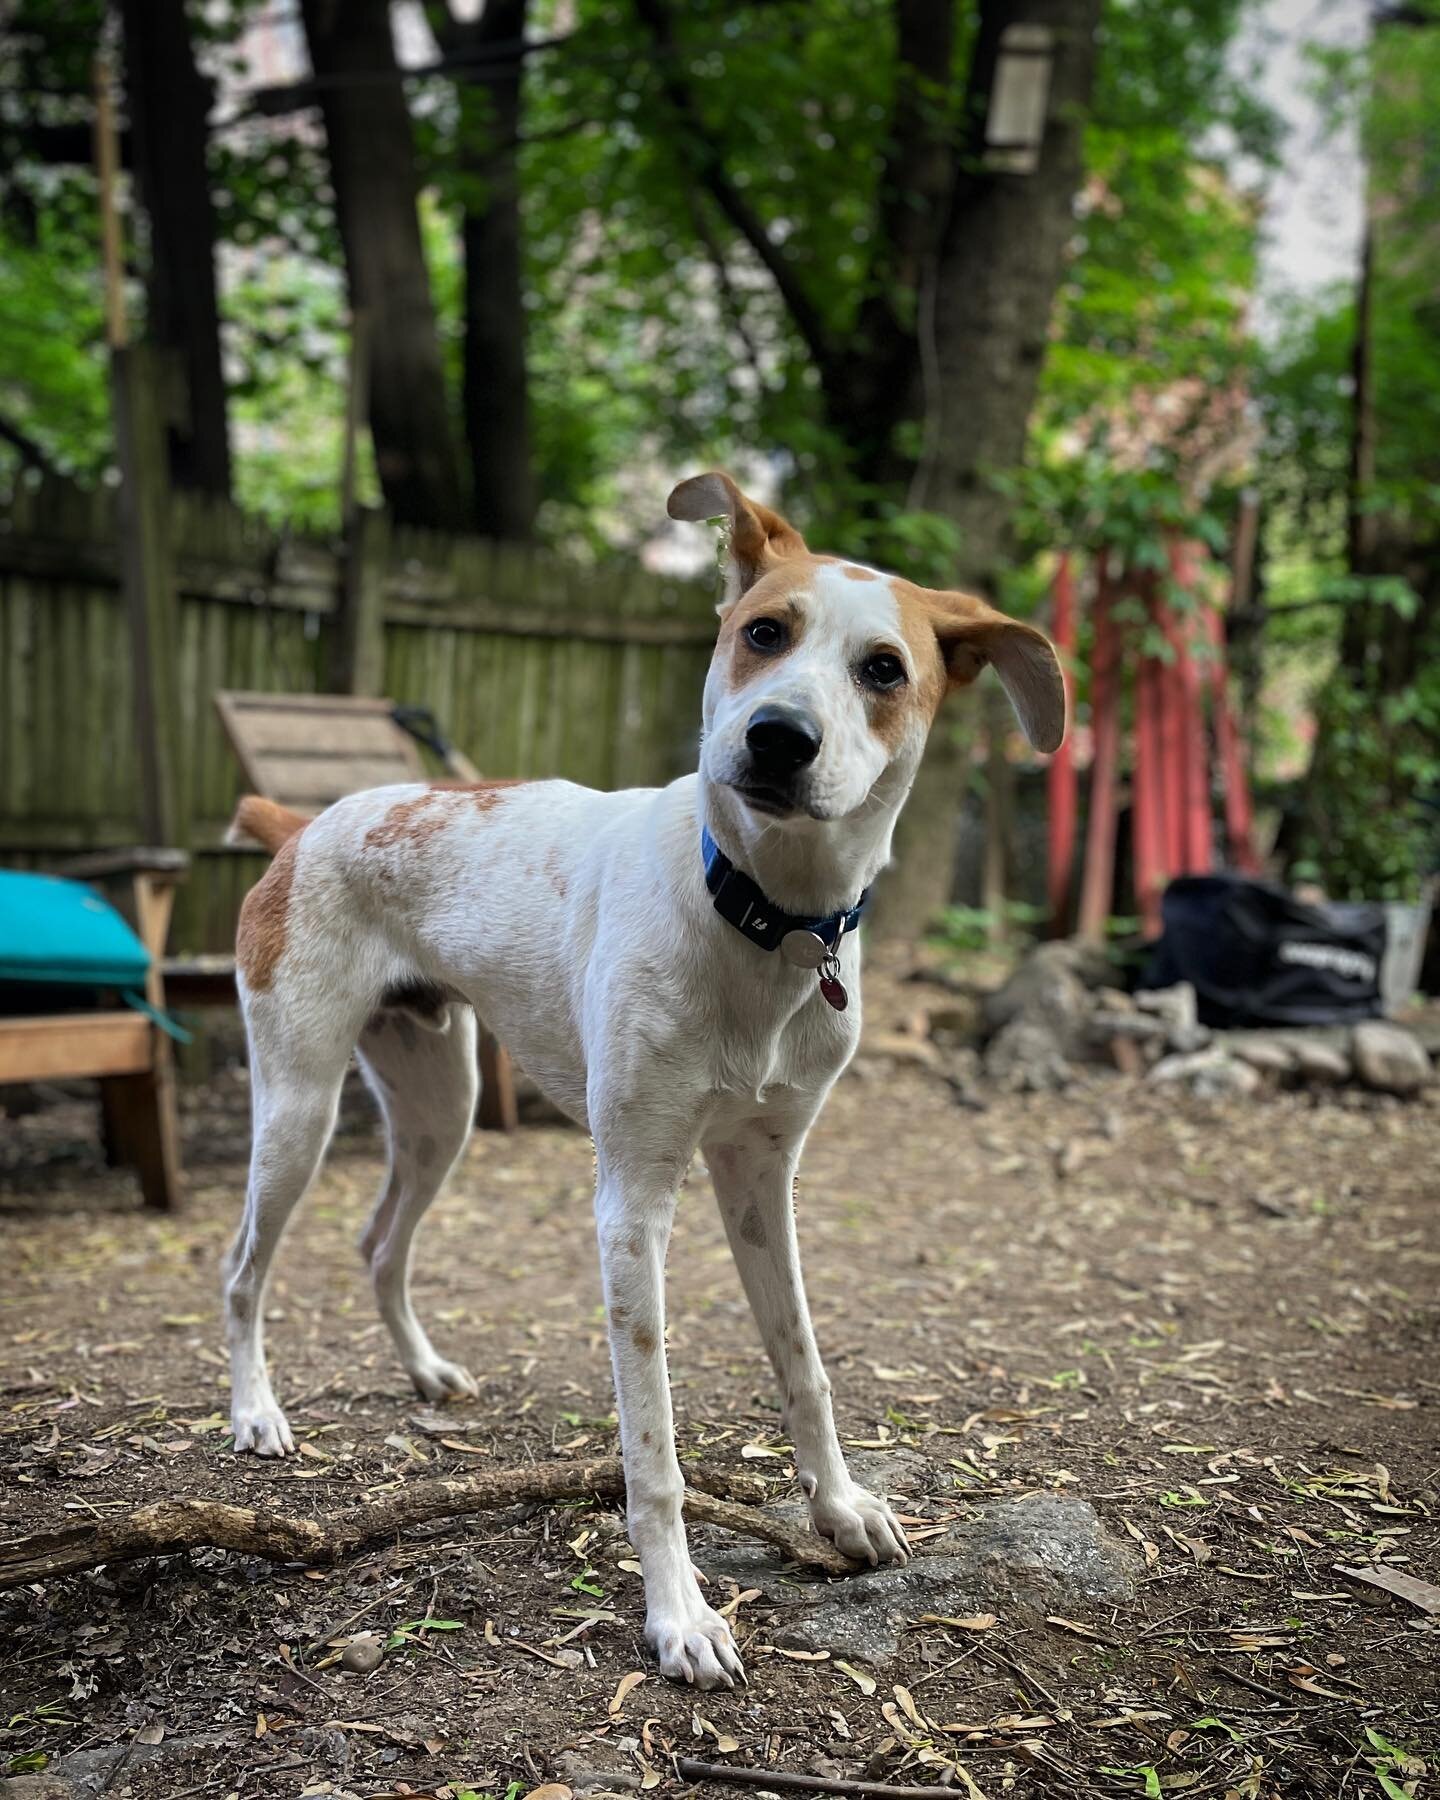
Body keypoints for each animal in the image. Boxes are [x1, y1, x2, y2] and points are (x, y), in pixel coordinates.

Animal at [222, 475, 1058, 1684]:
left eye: (885, 670)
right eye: (765, 633)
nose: (778, 736)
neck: (760, 918)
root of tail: (307, 822)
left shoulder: (763, 1182)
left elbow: (805, 1364)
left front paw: (840, 1507)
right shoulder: (633, 1205)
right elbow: (653, 1453)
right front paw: (680, 1615)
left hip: (440, 1112)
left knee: (379, 1243)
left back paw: (426, 1373)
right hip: (297, 1110)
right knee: (243, 1270)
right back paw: (255, 1414)